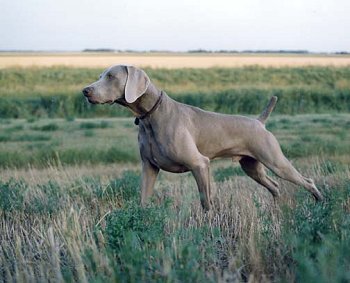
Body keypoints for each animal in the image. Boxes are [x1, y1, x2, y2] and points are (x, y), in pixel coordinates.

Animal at [83, 65, 324, 211]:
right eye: (100, 76)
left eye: (111, 76)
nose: (85, 91)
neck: (150, 116)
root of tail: (259, 121)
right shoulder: (149, 167)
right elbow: (143, 199)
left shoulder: (200, 164)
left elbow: (206, 202)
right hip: (251, 166)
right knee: (274, 186)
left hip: (275, 160)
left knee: (307, 181)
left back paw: (321, 205)